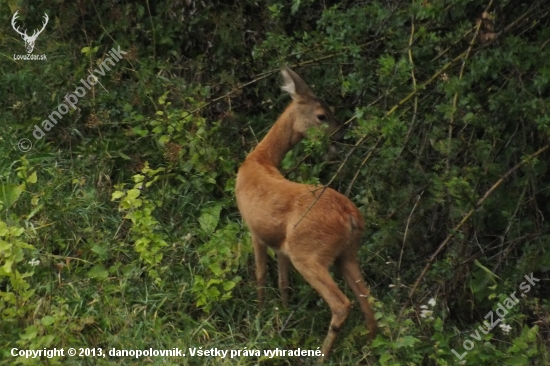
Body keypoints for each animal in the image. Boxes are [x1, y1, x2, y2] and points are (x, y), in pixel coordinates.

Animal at [235, 68, 378, 360]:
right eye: (323, 114)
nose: (340, 137)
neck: (260, 160)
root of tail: (351, 217)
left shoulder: (254, 229)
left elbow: (260, 275)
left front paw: (259, 315)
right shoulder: (280, 245)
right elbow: (283, 282)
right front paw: (283, 315)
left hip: (308, 252)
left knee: (342, 303)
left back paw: (322, 356)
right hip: (347, 253)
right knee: (366, 296)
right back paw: (370, 348)